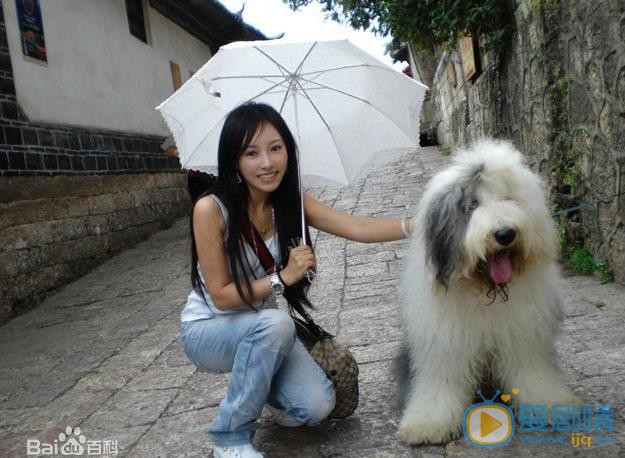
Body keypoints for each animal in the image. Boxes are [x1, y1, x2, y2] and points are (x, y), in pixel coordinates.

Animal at [398, 139, 576, 444]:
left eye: (509, 198)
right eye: (471, 205)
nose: (505, 234)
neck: (484, 291)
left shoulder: (523, 336)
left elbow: (531, 371)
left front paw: (549, 405)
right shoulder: (445, 342)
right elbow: (442, 381)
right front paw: (428, 424)